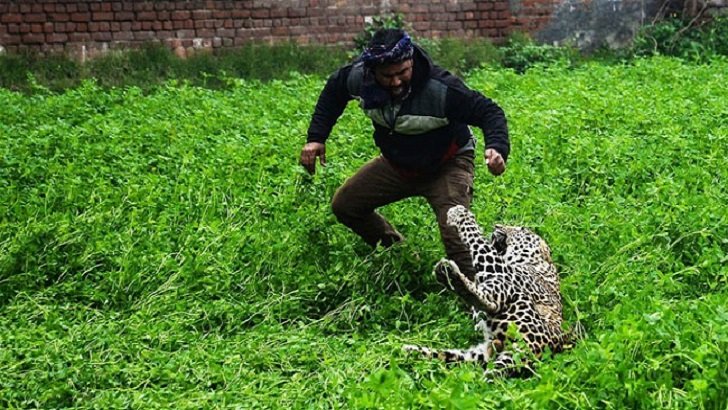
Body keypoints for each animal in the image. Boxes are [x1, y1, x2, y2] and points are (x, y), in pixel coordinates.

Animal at [404, 205, 568, 378]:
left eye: (521, 229)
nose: (497, 225)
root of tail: (533, 351)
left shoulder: (499, 267)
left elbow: (477, 239)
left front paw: (460, 213)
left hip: (515, 302)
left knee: (489, 302)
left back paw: (449, 276)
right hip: (478, 354)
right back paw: (410, 350)